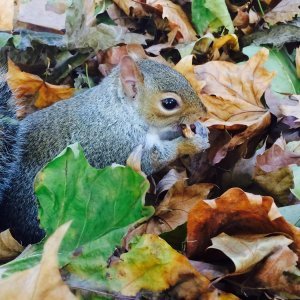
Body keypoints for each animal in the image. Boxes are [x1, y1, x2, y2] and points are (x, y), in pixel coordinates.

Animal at [0, 55, 209, 244]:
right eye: (169, 103)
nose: (203, 113)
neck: (120, 110)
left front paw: (199, 129)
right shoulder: (121, 143)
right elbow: (154, 158)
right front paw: (192, 144)